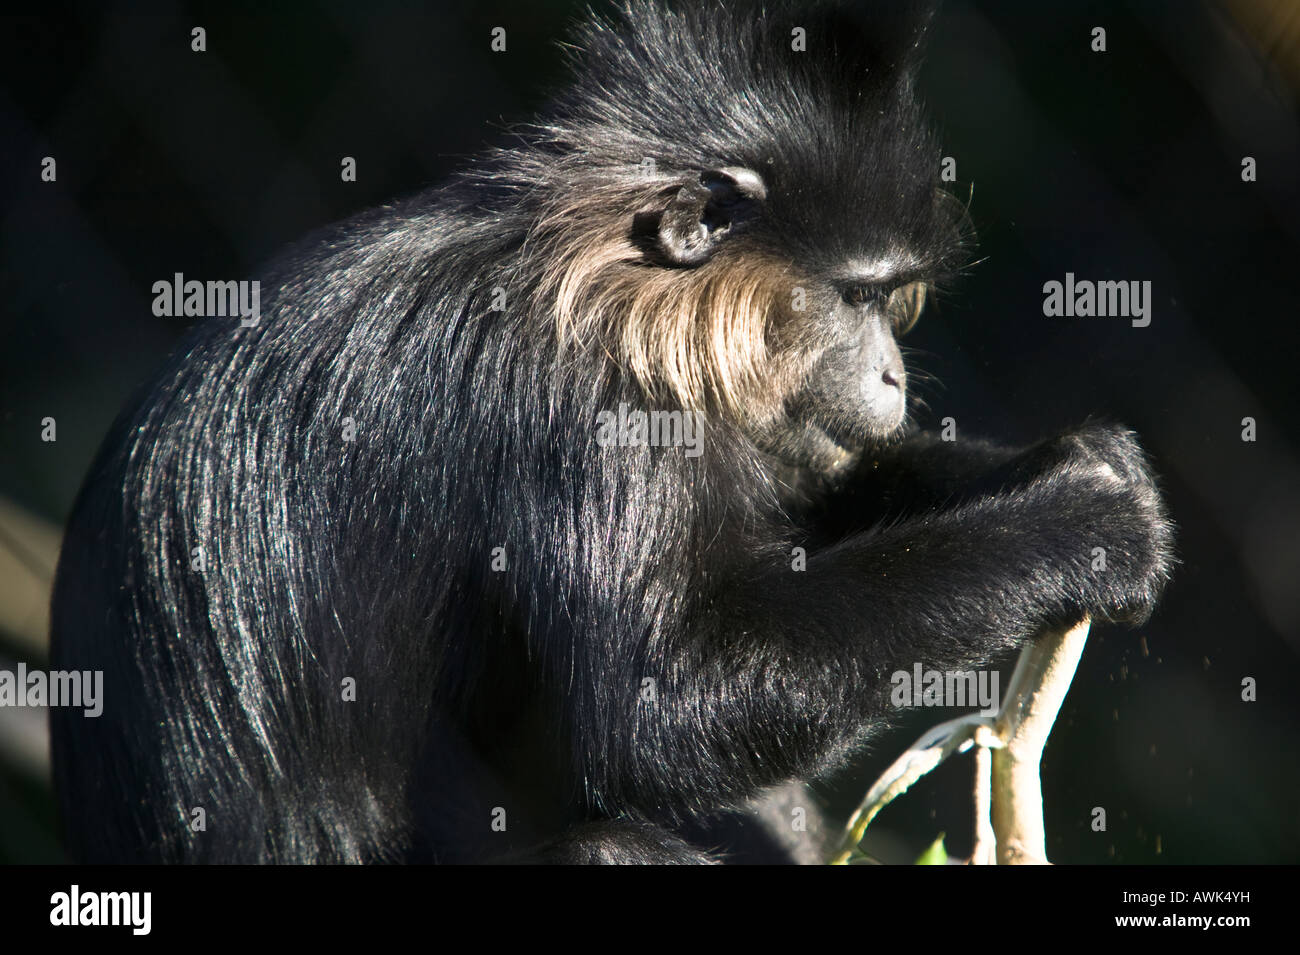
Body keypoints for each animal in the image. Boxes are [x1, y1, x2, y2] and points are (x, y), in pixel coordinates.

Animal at [50, 1, 1175, 867]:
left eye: (889, 301)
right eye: (858, 297)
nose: (893, 372)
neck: (603, 289)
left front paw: (1067, 463)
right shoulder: (588, 419)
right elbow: (658, 714)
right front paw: (1077, 531)